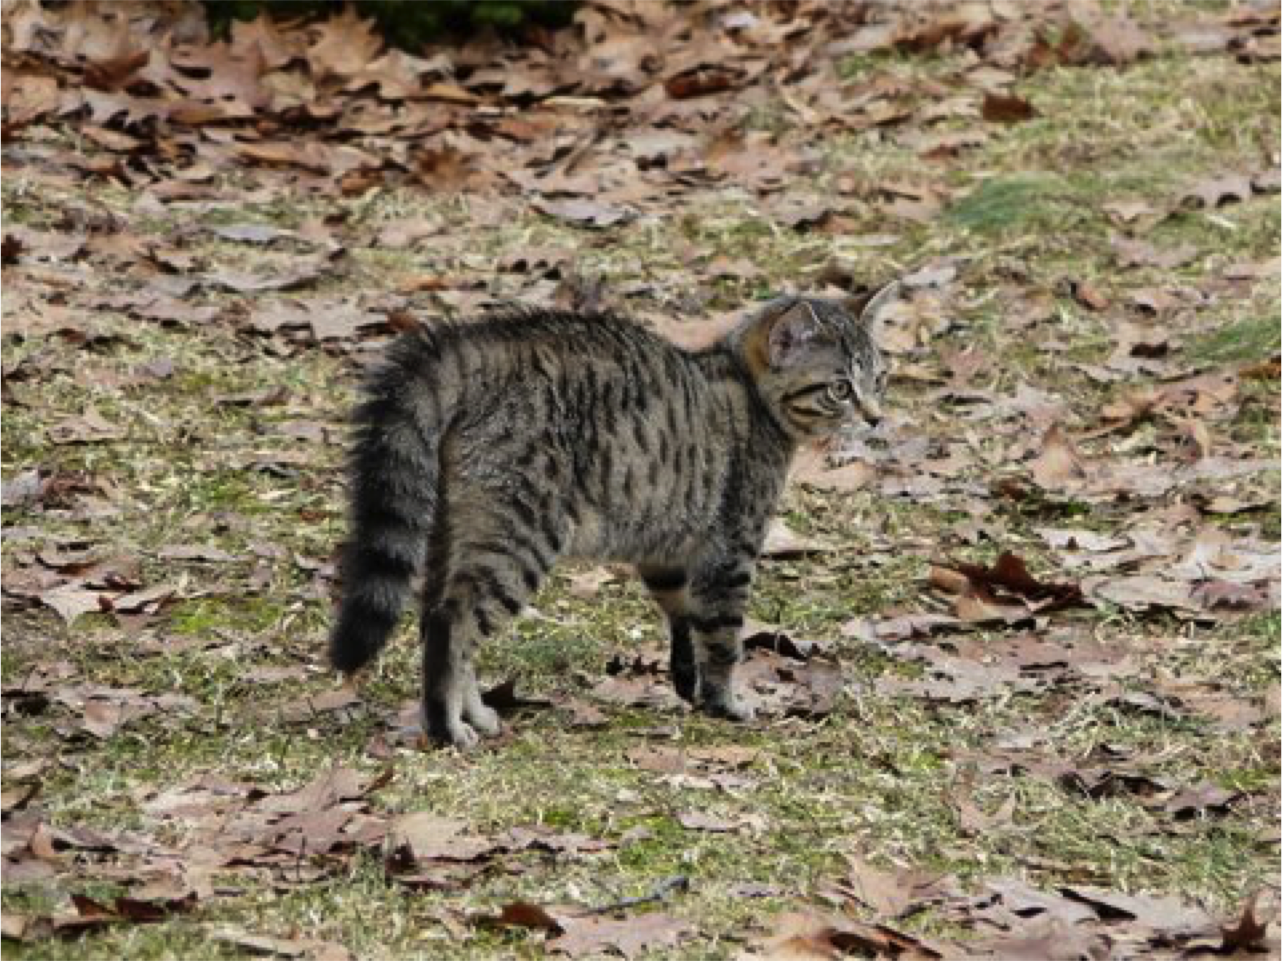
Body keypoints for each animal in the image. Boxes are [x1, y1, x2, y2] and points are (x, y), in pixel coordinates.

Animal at [329, 286, 895, 747]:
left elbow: (681, 614)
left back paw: (475, 713)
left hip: (456, 529)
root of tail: (483, 345)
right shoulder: (730, 550)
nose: (875, 417)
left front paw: (685, 677)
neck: (745, 388)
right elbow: (722, 639)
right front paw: (723, 701)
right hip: (521, 535)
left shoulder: (667, 548)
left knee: (437, 620)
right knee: (453, 622)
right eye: (840, 388)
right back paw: (446, 726)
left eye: (879, 377)